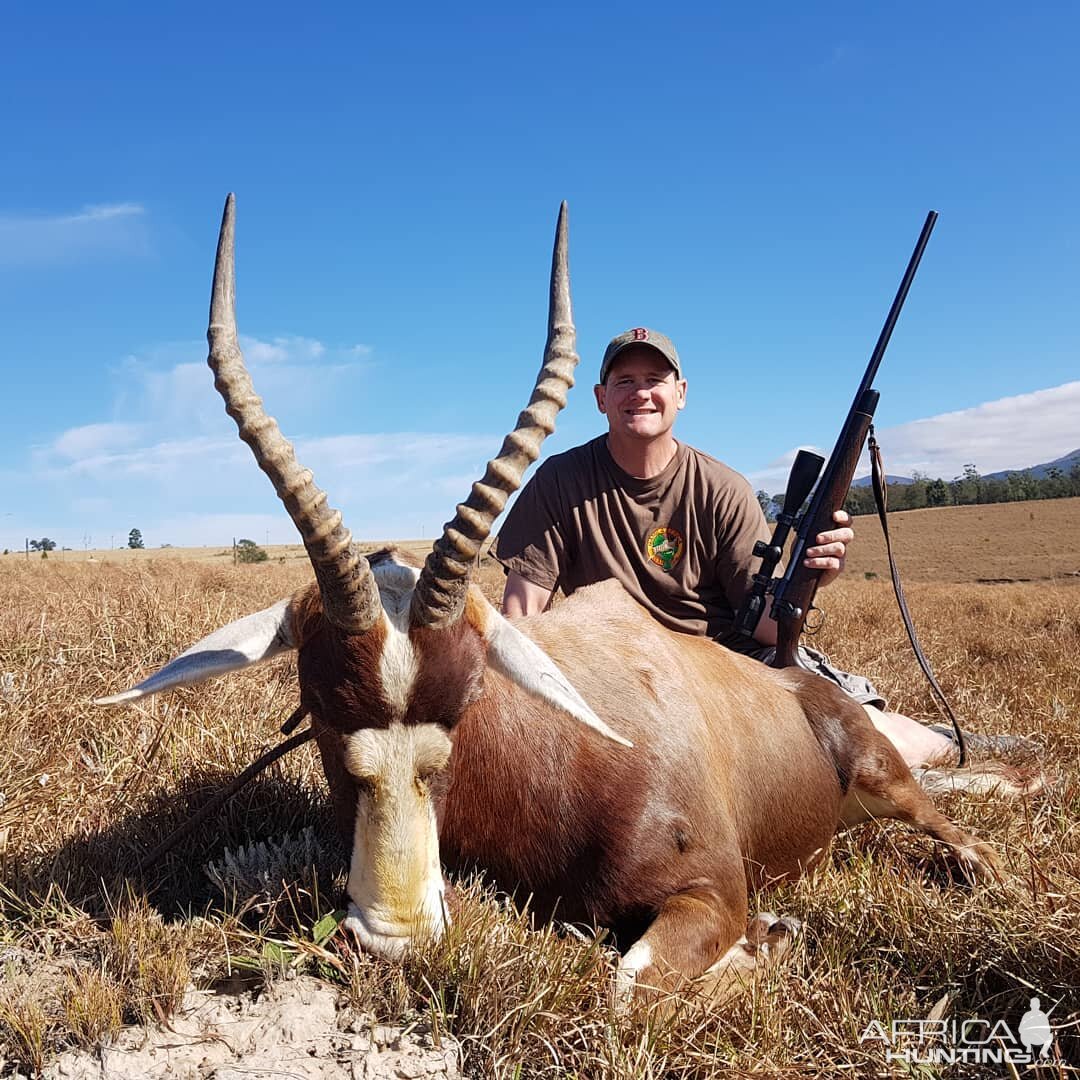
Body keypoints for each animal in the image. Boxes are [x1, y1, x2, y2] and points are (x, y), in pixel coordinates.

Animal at [97, 198, 997, 997]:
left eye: (468, 707)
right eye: (318, 714)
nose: (392, 938)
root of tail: (801, 687)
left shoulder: (712, 893)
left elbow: (625, 989)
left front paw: (767, 937)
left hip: (889, 783)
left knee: (951, 822)